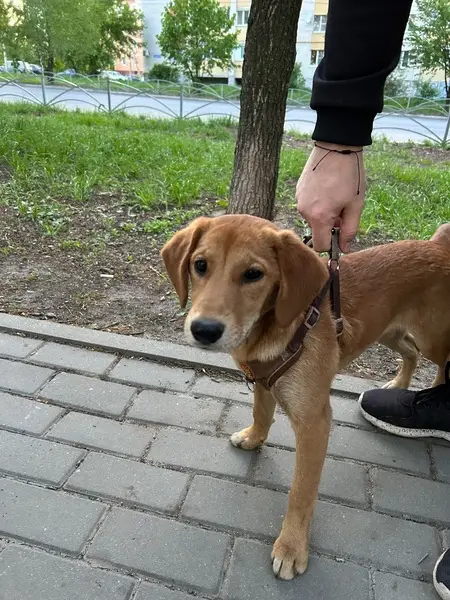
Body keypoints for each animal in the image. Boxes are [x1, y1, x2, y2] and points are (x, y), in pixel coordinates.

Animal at [161, 215, 450, 580]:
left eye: (253, 274)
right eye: (200, 265)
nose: (204, 330)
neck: (275, 328)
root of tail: (438, 245)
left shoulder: (314, 422)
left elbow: (300, 493)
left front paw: (291, 547)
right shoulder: (263, 382)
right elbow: (260, 414)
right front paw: (253, 438)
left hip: (434, 337)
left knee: (442, 364)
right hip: (388, 330)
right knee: (410, 351)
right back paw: (398, 384)